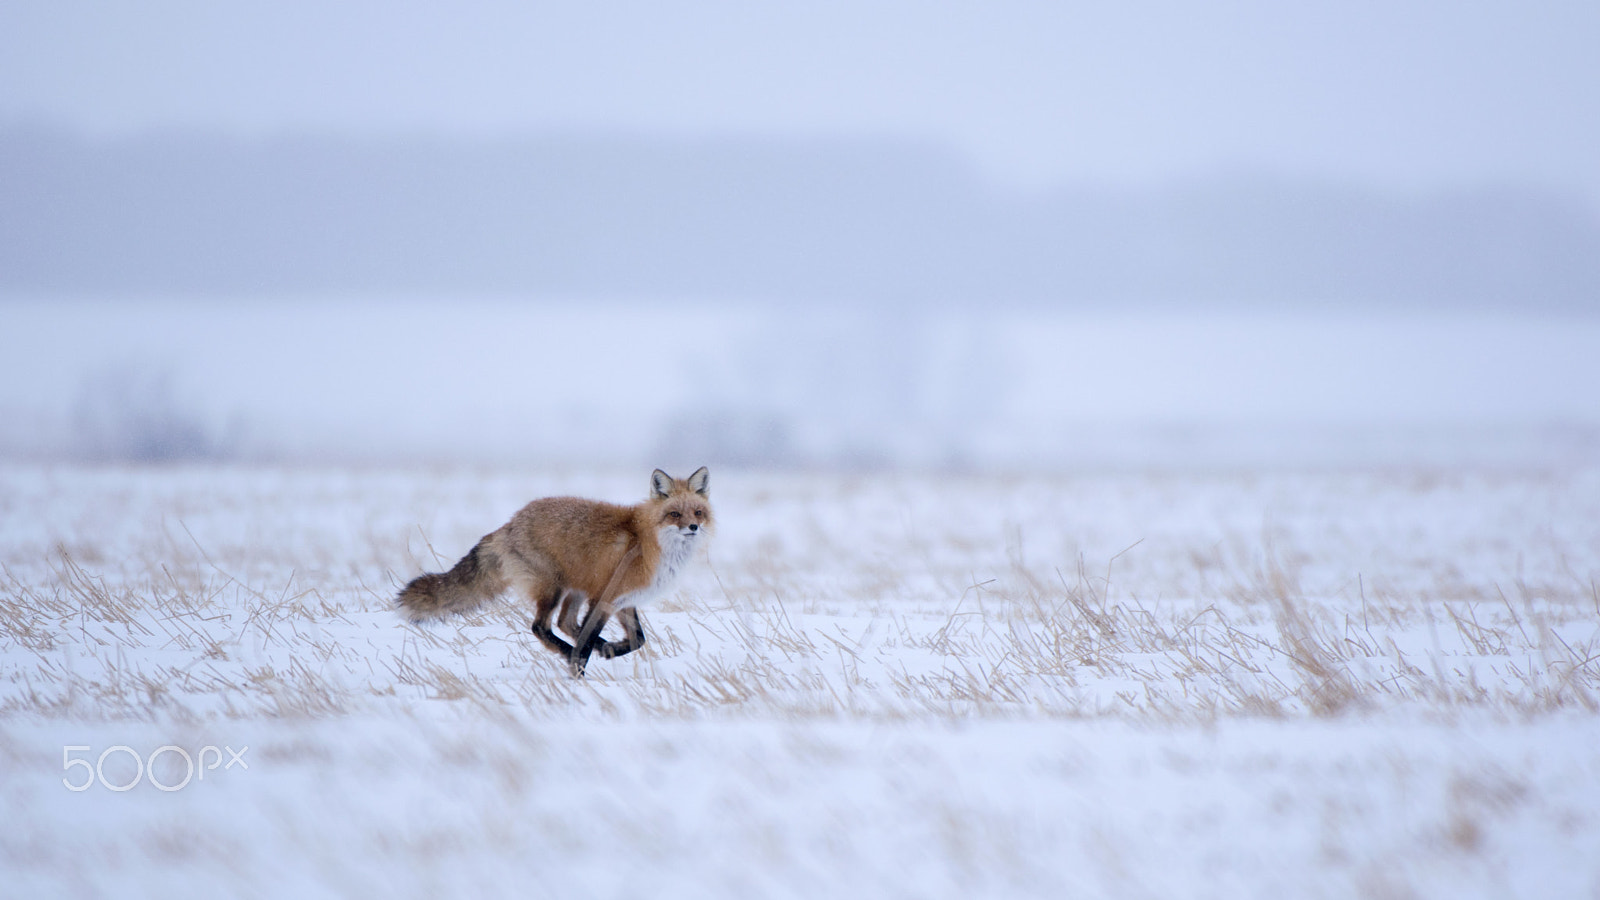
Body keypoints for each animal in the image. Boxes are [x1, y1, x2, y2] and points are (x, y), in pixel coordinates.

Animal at [396, 466, 712, 677]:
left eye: (698, 512)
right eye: (674, 514)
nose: (693, 527)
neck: (648, 542)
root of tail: (509, 524)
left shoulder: (622, 599)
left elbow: (637, 639)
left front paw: (607, 650)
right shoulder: (605, 597)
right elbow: (589, 642)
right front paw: (578, 675)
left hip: (575, 588)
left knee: (565, 623)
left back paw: (596, 647)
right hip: (553, 589)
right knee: (541, 627)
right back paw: (570, 651)